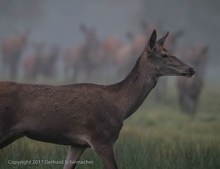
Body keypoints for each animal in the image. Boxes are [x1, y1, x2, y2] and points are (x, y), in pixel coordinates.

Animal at [0, 30, 195, 169]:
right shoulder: (102, 139)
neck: (120, 107)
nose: (191, 69)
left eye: (170, 52)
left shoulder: (77, 144)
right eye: (164, 55)